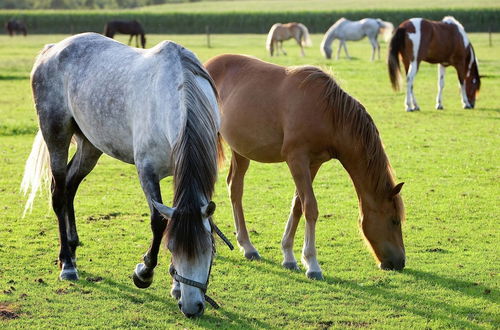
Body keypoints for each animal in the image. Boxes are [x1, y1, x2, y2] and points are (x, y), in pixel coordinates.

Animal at [21, 32, 229, 318]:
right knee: (59, 193)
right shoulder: (147, 171)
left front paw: (175, 285)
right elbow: (158, 223)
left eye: (209, 249)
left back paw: (73, 248)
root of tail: (52, 49)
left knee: (71, 188)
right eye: (172, 248)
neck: (176, 91)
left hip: (90, 145)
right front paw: (144, 273)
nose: (191, 307)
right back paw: (67, 263)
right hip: (56, 136)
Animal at [206, 54, 406, 282]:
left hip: (241, 151)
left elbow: (297, 205)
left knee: (235, 188)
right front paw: (312, 264)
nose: (401, 262)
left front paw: (289, 256)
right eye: (394, 221)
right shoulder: (296, 159)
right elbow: (310, 207)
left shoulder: (313, 163)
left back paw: (247, 246)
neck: (329, 113)